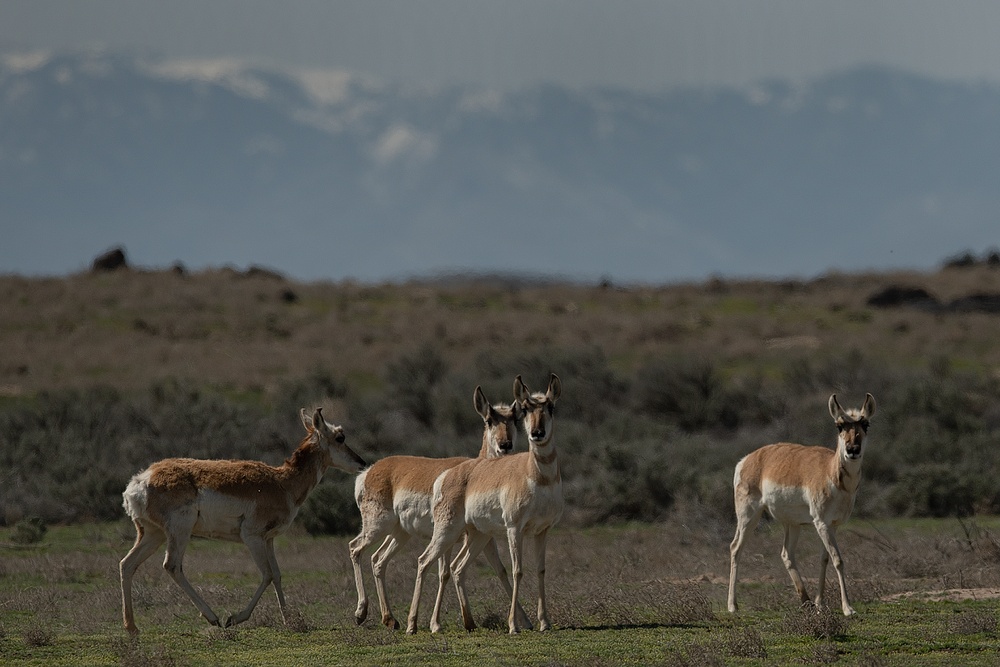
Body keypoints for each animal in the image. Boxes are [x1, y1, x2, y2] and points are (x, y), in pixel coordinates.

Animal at [119, 408, 366, 636]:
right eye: (340, 437)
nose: (362, 463)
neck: (282, 482)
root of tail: (141, 480)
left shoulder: (268, 540)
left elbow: (277, 574)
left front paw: (289, 619)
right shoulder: (252, 537)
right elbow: (267, 574)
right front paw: (235, 618)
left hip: (154, 534)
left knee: (127, 564)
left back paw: (132, 627)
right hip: (179, 532)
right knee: (172, 565)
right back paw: (213, 617)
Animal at [350, 386, 528, 632]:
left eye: (514, 419)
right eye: (489, 420)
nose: (505, 445)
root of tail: (369, 472)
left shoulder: (483, 537)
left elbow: (500, 570)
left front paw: (526, 621)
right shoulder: (454, 537)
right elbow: (444, 572)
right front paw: (436, 623)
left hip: (400, 534)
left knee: (378, 560)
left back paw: (390, 619)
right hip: (377, 527)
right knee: (355, 548)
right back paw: (361, 612)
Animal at [406, 374, 564, 636]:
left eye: (550, 407)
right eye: (525, 408)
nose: (537, 433)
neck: (537, 475)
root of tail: (448, 474)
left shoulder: (542, 531)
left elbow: (541, 570)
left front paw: (544, 622)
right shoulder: (514, 529)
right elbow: (517, 570)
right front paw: (513, 626)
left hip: (478, 536)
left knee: (457, 567)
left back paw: (468, 623)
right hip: (447, 533)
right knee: (424, 561)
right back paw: (413, 625)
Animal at [728, 394, 876, 620]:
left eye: (865, 424)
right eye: (839, 426)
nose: (852, 450)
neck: (830, 471)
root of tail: (747, 460)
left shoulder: (832, 525)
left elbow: (824, 559)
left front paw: (820, 603)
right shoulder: (821, 523)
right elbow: (837, 559)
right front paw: (848, 608)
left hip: (792, 525)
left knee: (786, 554)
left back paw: (806, 601)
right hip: (748, 517)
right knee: (736, 548)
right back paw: (733, 606)